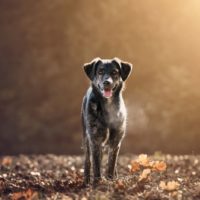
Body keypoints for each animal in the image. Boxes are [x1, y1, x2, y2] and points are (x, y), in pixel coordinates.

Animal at [81, 57, 133, 185]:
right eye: (100, 71)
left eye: (114, 72)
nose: (107, 82)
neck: (108, 106)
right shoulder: (95, 139)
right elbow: (96, 164)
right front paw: (97, 182)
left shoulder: (115, 141)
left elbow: (111, 163)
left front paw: (111, 181)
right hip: (86, 138)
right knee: (88, 160)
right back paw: (86, 180)